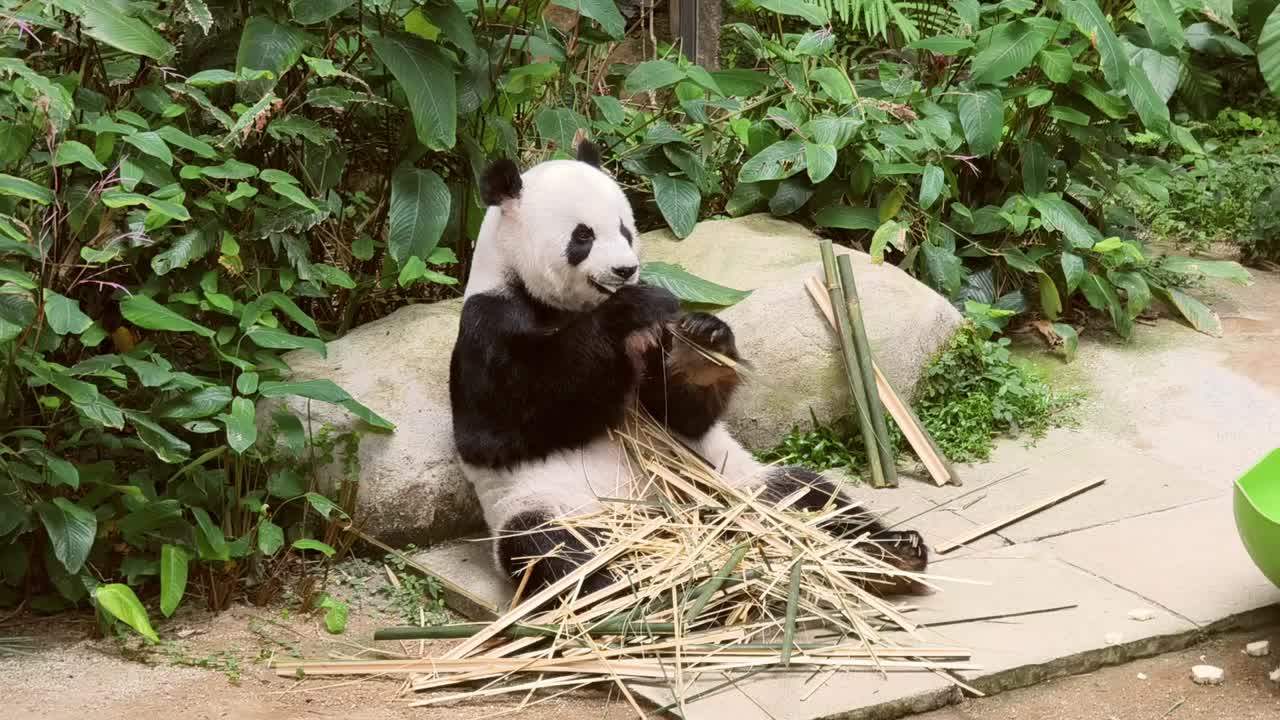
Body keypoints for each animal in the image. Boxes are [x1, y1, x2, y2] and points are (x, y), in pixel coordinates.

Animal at [448, 140, 929, 601]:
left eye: (625, 229)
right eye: (582, 236)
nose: (625, 270)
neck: (563, 306)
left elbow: (681, 413)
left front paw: (704, 340)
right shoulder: (488, 324)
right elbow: (504, 424)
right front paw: (631, 309)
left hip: (734, 481)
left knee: (805, 493)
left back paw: (893, 554)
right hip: (553, 503)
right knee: (555, 550)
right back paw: (642, 590)